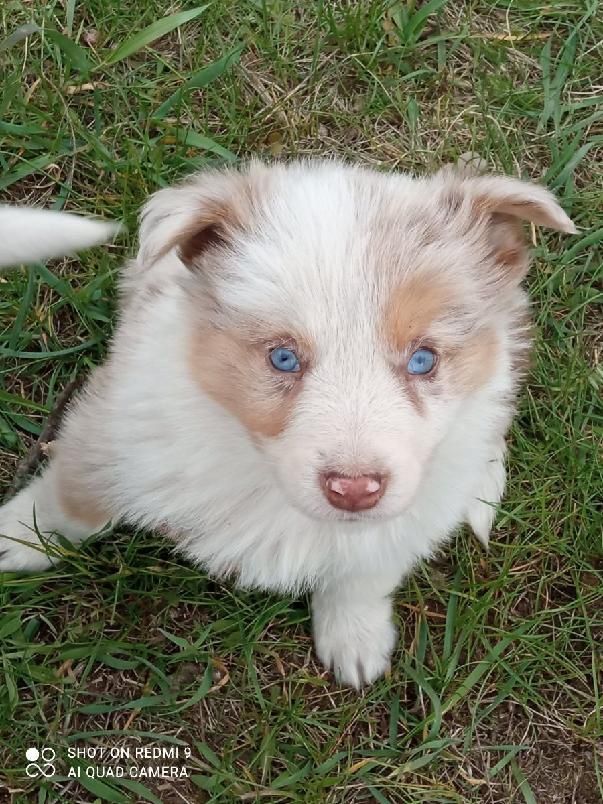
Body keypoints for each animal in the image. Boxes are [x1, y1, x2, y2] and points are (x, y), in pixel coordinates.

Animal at [0, 162, 576, 684]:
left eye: (422, 360)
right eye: (282, 358)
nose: (354, 490)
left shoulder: (408, 514)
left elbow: (365, 571)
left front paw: (356, 637)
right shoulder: (119, 424)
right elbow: (75, 500)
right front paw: (22, 536)